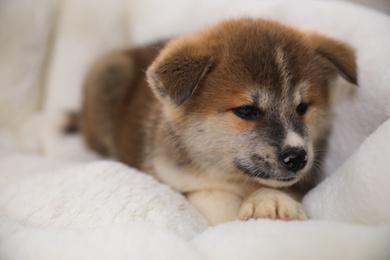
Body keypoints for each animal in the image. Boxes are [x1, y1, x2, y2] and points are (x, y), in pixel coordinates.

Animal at [79, 18, 356, 225]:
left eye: (302, 108)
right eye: (246, 111)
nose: (297, 157)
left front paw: (269, 199)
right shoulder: (178, 180)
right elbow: (219, 203)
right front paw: (260, 202)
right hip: (109, 73)